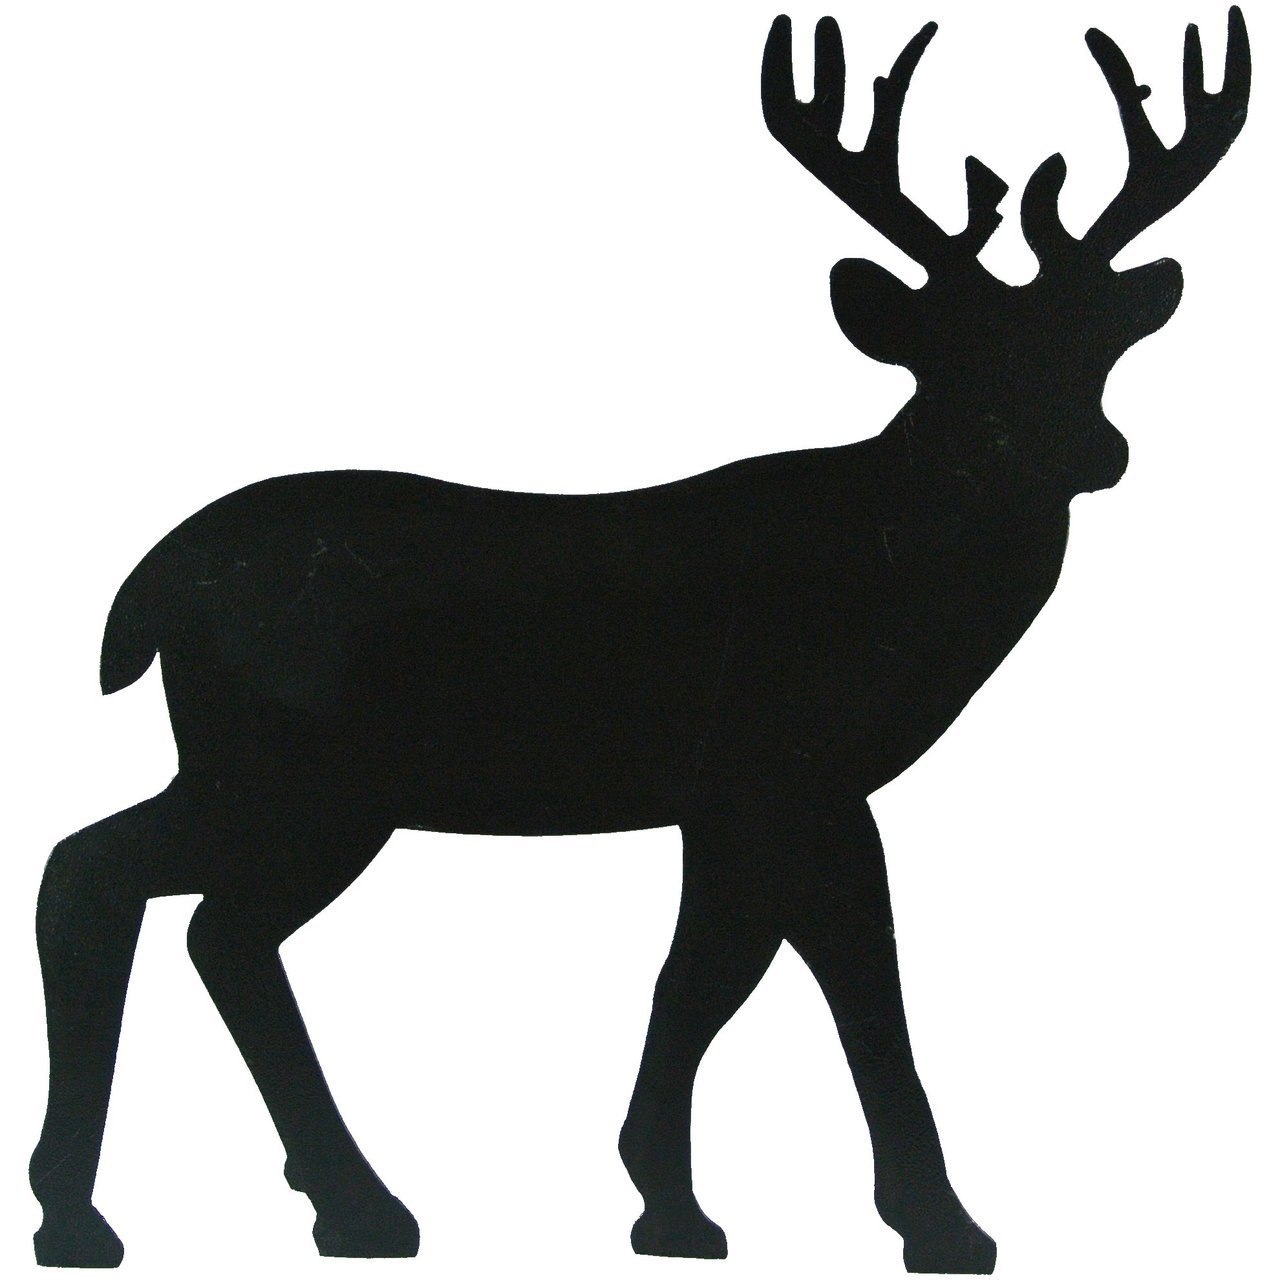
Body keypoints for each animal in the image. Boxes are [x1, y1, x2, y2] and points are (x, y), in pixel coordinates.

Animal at [29, 8, 1249, 1274]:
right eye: (949, 355)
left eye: (1092, 341)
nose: (1087, 449)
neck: (886, 574)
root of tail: (149, 590)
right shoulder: (795, 768)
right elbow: (855, 976)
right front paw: (940, 1220)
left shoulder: (719, 794)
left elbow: (698, 974)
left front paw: (666, 1199)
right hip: (298, 772)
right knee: (129, 887)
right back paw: (163, 1210)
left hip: (275, 776)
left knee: (167, 903)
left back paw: (281, 1201)